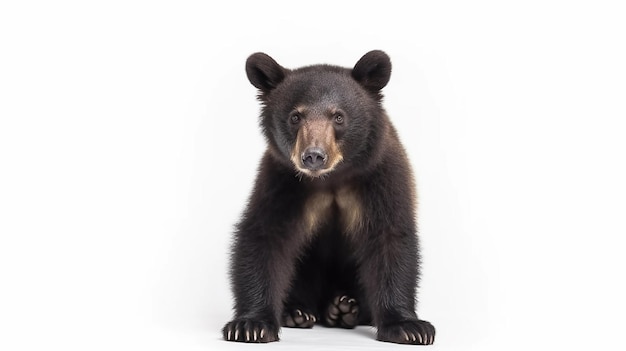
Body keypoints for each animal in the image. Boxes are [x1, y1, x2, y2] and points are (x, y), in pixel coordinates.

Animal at [221, 51, 434, 346]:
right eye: (295, 116)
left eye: (339, 116)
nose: (313, 155)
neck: (331, 179)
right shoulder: (283, 183)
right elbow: (264, 236)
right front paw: (250, 325)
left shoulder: (380, 177)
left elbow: (390, 238)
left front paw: (408, 327)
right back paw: (299, 312)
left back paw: (344, 308)